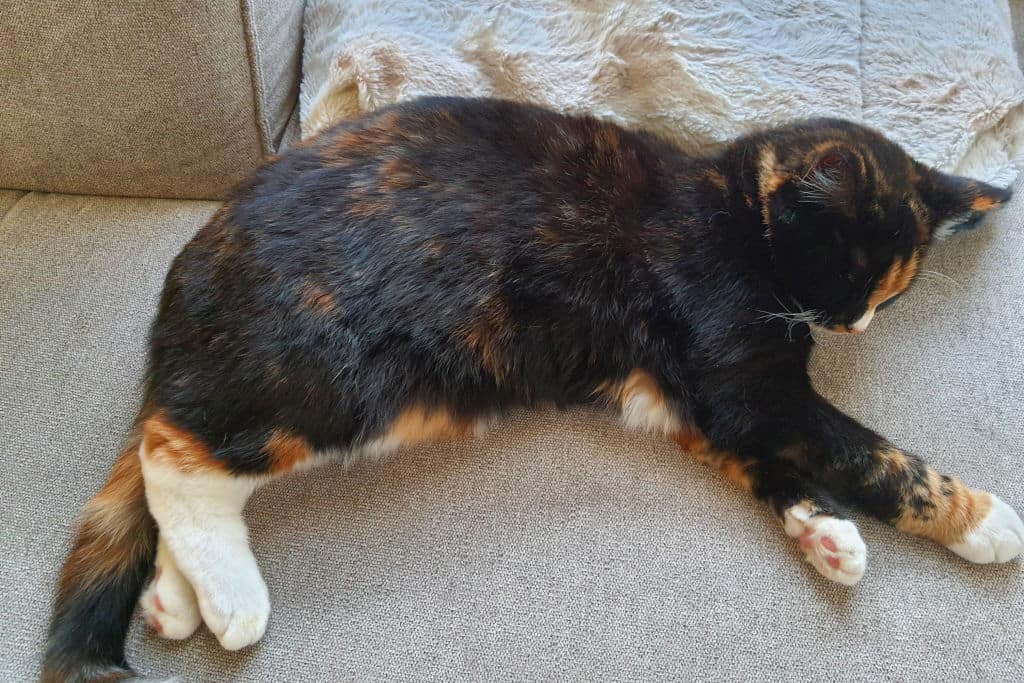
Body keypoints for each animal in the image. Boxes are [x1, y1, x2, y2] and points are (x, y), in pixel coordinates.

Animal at [41, 97, 1015, 683]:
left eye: (894, 294)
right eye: (851, 273)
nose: (854, 326)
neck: (731, 211)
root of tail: (190, 271)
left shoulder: (703, 405)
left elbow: (768, 465)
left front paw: (825, 536)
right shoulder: (748, 386)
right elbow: (868, 452)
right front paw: (982, 519)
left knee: (184, 458)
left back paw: (174, 598)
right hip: (338, 380)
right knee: (173, 456)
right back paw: (231, 601)